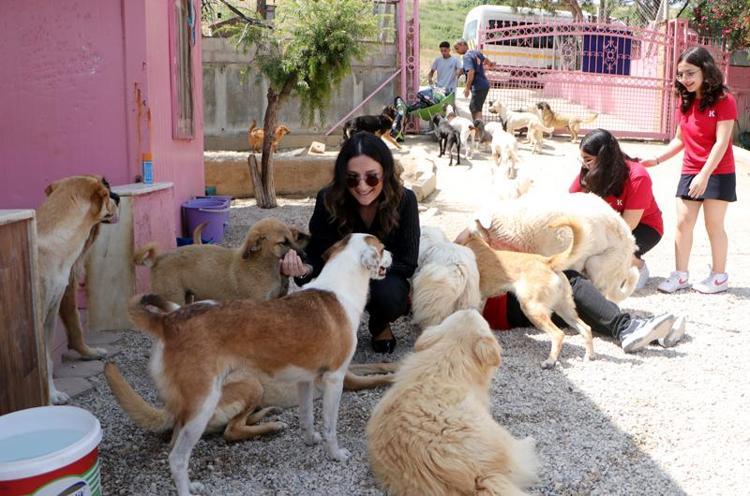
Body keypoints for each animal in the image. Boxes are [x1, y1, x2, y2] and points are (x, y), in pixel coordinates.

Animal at [127, 233, 391, 495]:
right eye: (381, 248)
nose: (391, 254)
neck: (340, 289)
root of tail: (169, 320)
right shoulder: (335, 379)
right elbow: (330, 426)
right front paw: (335, 454)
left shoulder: (305, 381)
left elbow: (307, 417)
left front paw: (310, 440)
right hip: (203, 405)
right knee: (177, 458)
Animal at [133, 217, 305, 304]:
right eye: (283, 242)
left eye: (292, 238)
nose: (304, 255)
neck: (260, 264)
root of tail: (158, 259)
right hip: (174, 298)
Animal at [460, 217, 594, 368]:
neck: (473, 240)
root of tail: (547, 262)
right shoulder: (480, 300)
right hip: (565, 310)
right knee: (586, 328)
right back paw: (589, 356)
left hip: (532, 309)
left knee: (558, 334)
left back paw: (550, 361)